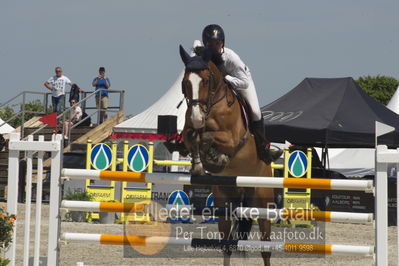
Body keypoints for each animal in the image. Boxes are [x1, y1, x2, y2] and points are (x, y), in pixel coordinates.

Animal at [179, 44, 276, 264]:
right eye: (185, 82)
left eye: (206, 81)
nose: (197, 118)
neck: (212, 104)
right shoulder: (188, 129)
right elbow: (192, 137)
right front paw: (199, 165)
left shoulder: (231, 139)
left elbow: (207, 137)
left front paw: (216, 158)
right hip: (225, 204)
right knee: (227, 246)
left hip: (262, 203)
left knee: (266, 249)